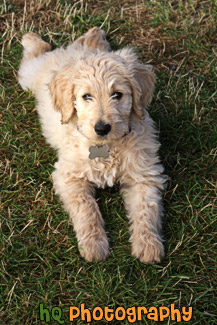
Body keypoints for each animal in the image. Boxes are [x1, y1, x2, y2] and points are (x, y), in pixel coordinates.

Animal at [18, 26, 165, 262]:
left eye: (117, 95)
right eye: (86, 96)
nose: (102, 128)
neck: (107, 145)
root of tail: (73, 50)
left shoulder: (144, 175)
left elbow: (146, 209)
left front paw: (148, 245)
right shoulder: (68, 176)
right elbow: (86, 209)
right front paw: (94, 245)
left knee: (90, 43)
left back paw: (94, 35)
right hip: (30, 75)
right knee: (36, 54)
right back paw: (32, 39)